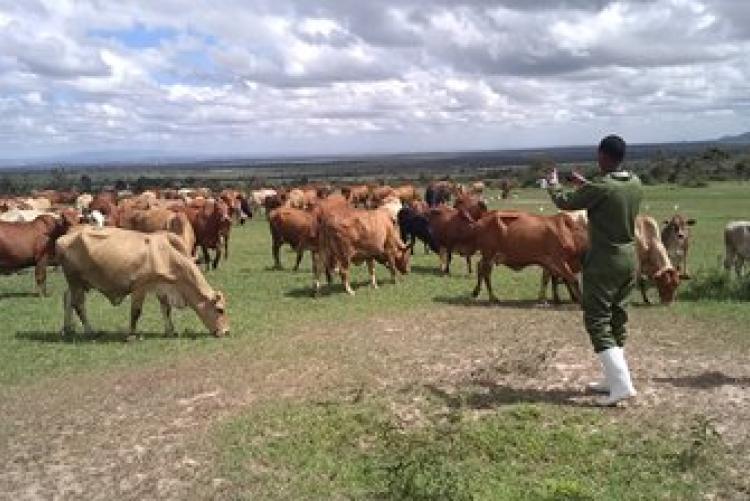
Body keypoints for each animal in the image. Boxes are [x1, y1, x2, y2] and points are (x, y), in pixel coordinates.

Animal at [56, 227, 229, 340]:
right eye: (220, 310)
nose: (226, 331)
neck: (166, 255)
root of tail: (64, 237)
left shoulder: (162, 287)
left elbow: (166, 309)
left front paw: (170, 331)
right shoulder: (140, 287)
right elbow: (136, 312)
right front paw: (131, 335)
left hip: (77, 283)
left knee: (68, 299)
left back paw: (68, 328)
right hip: (75, 280)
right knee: (78, 305)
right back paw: (90, 331)